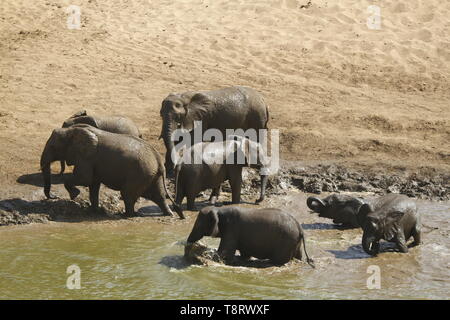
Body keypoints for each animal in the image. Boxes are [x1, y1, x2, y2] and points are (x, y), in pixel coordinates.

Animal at [39, 124, 184, 219]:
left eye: (53, 147)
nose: (54, 196)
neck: (70, 131)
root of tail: (159, 161)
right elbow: (93, 184)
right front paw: (94, 211)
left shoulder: (86, 157)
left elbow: (84, 178)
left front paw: (75, 195)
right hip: (151, 175)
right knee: (158, 195)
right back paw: (169, 214)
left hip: (140, 173)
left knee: (128, 194)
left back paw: (127, 215)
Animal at [185, 206, 314, 266]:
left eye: (199, 224)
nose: (190, 244)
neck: (219, 209)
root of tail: (299, 227)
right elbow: (244, 254)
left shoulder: (231, 228)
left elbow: (224, 252)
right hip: (294, 241)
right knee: (298, 255)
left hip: (286, 241)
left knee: (278, 260)